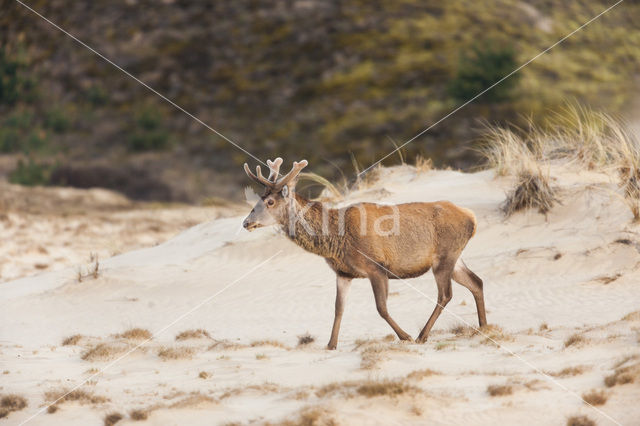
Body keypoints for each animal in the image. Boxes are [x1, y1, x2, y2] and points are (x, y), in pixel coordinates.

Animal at [242, 157, 488, 350]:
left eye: (270, 201)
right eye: (258, 200)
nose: (246, 222)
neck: (335, 240)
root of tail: (472, 217)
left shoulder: (376, 266)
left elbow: (381, 308)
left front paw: (405, 336)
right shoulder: (343, 273)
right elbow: (338, 309)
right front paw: (331, 344)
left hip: (444, 256)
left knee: (445, 294)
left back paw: (422, 335)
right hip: (455, 258)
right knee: (476, 281)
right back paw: (484, 326)